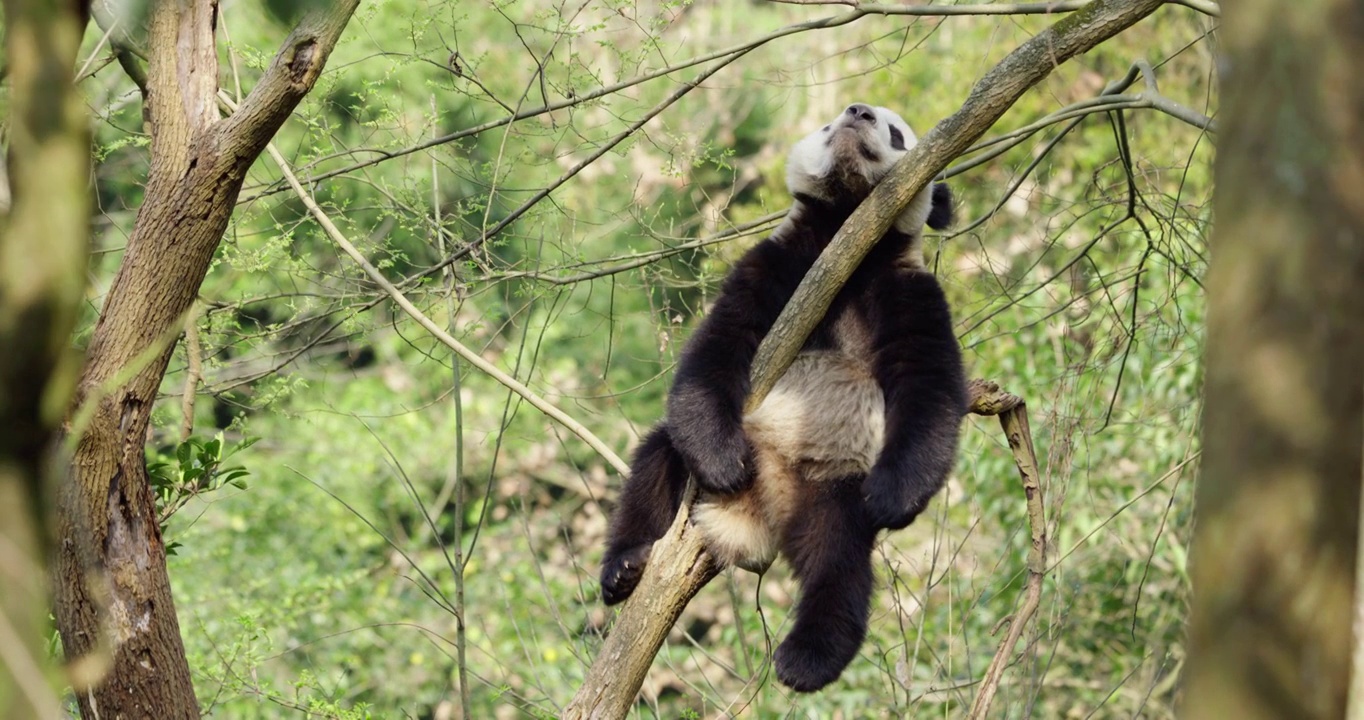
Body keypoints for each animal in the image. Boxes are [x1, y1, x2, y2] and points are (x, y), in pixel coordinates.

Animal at [602, 100, 965, 692]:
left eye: (895, 132)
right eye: (827, 124)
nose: (857, 112)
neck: (847, 238)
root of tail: (757, 516)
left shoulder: (909, 290)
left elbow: (929, 392)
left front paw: (894, 496)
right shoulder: (777, 262)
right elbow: (720, 343)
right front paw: (722, 460)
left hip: (829, 486)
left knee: (838, 565)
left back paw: (808, 658)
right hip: (700, 468)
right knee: (655, 461)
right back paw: (625, 567)